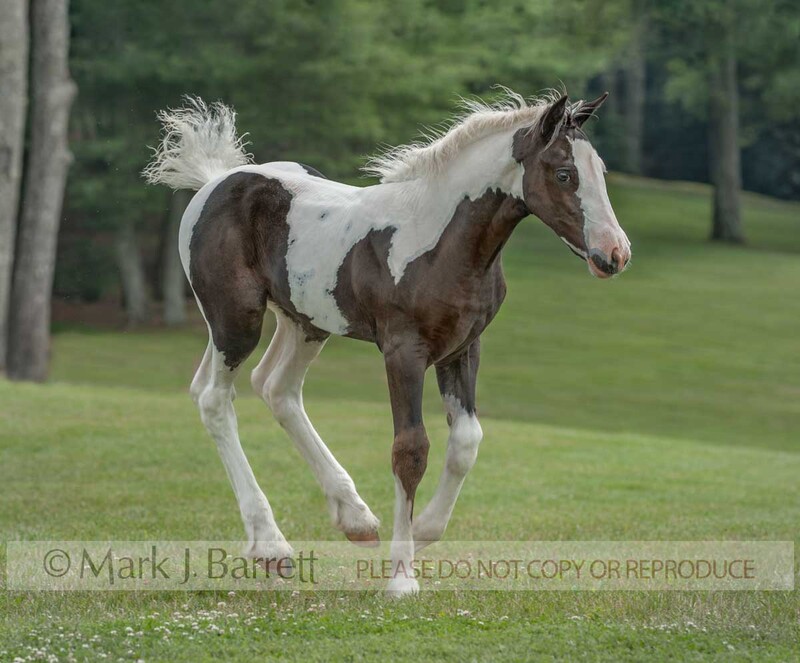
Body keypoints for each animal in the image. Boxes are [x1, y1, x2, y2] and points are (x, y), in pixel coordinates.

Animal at [143, 89, 631, 596]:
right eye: (564, 173)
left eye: (600, 170)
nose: (615, 254)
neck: (439, 242)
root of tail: (215, 181)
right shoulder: (404, 351)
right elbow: (410, 450)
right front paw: (401, 576)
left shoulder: (462, 348)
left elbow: (466, 441)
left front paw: (424, 531)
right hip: (236, 320)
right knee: (215, 399)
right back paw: (272, 545)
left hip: (306, 322)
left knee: (276, 388)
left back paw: (356, 518)